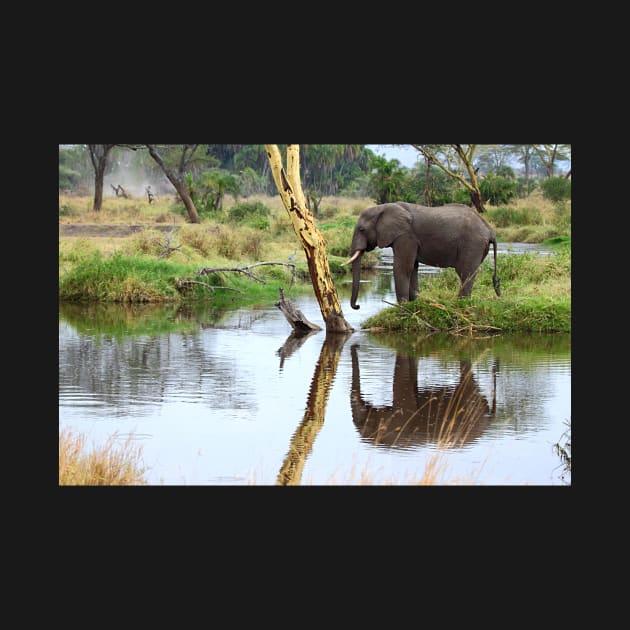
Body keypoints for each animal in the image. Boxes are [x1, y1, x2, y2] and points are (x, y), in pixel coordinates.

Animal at [344, 202, 502, 312]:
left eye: (362, 229)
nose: (357, 306)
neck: (382, 207)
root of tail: (490, 230)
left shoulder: (405, 236)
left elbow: (402, 267)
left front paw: (402, 308)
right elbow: (413, 267)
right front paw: (415, 303)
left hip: (472, 244)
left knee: (466, 273)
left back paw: (460, 304)